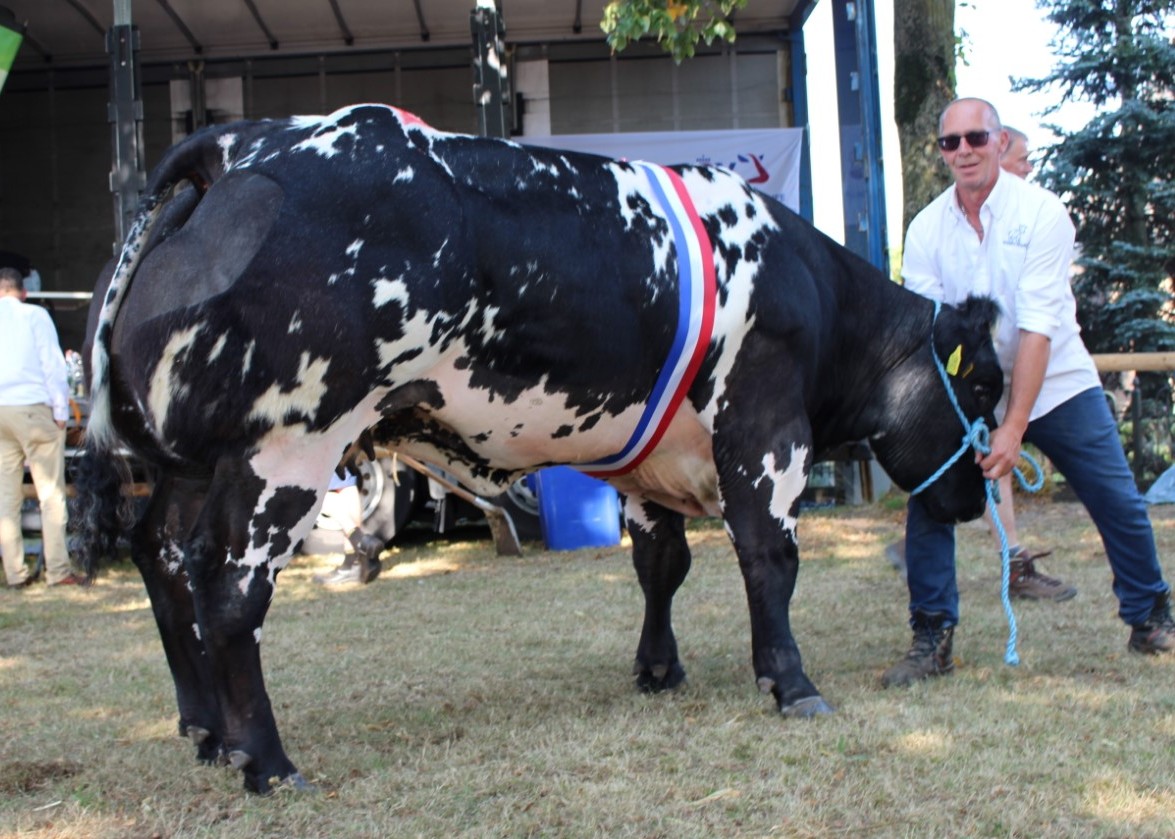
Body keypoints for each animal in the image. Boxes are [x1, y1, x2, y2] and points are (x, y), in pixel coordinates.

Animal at [75, 104, 1001, 789]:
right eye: (985, 389)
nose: (974, 496)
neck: (808, 287)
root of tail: (241, 140)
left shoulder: (647, 457)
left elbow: (660, 564)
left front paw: (657, 669)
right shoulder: (765, 432)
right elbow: (769, 558)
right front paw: (792, 682)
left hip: (190, 463)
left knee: (162, 556)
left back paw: (205, 729)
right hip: (286, 448)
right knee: (230, 584)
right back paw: (265, 761)